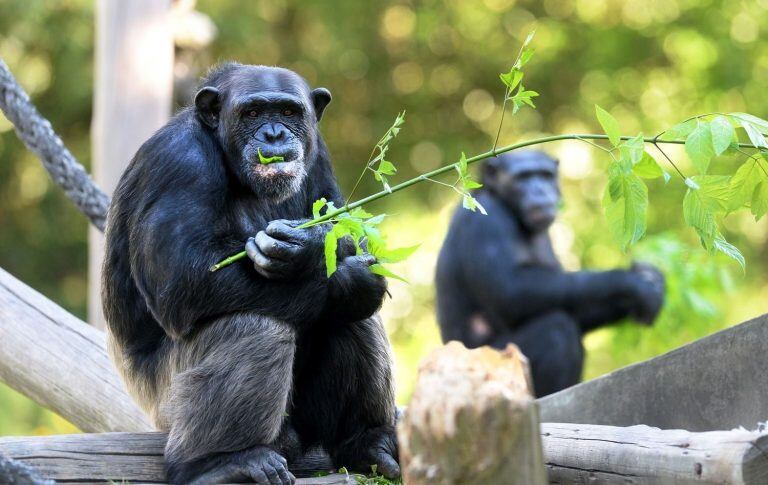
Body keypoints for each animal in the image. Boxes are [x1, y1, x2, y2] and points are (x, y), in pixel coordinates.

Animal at [102, 62, 400, 482]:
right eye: (253, 112)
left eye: (289, 112)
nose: (273, 133)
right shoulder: (178, 162)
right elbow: (185, 277)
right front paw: (328, 269)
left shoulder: (319, 154)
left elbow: (351, 226)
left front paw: (307, 247)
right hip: (165, 404)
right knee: (255, 327)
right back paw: (217, 463)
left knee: (353, 318)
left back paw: (367, 445)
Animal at [438, 151, 664, 398]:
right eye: (523, 177)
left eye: (545, 175)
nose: (539, 189)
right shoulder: (486, 219)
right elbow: (510, 289)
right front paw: (634, 283)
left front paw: (648, 279)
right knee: (555, 329)